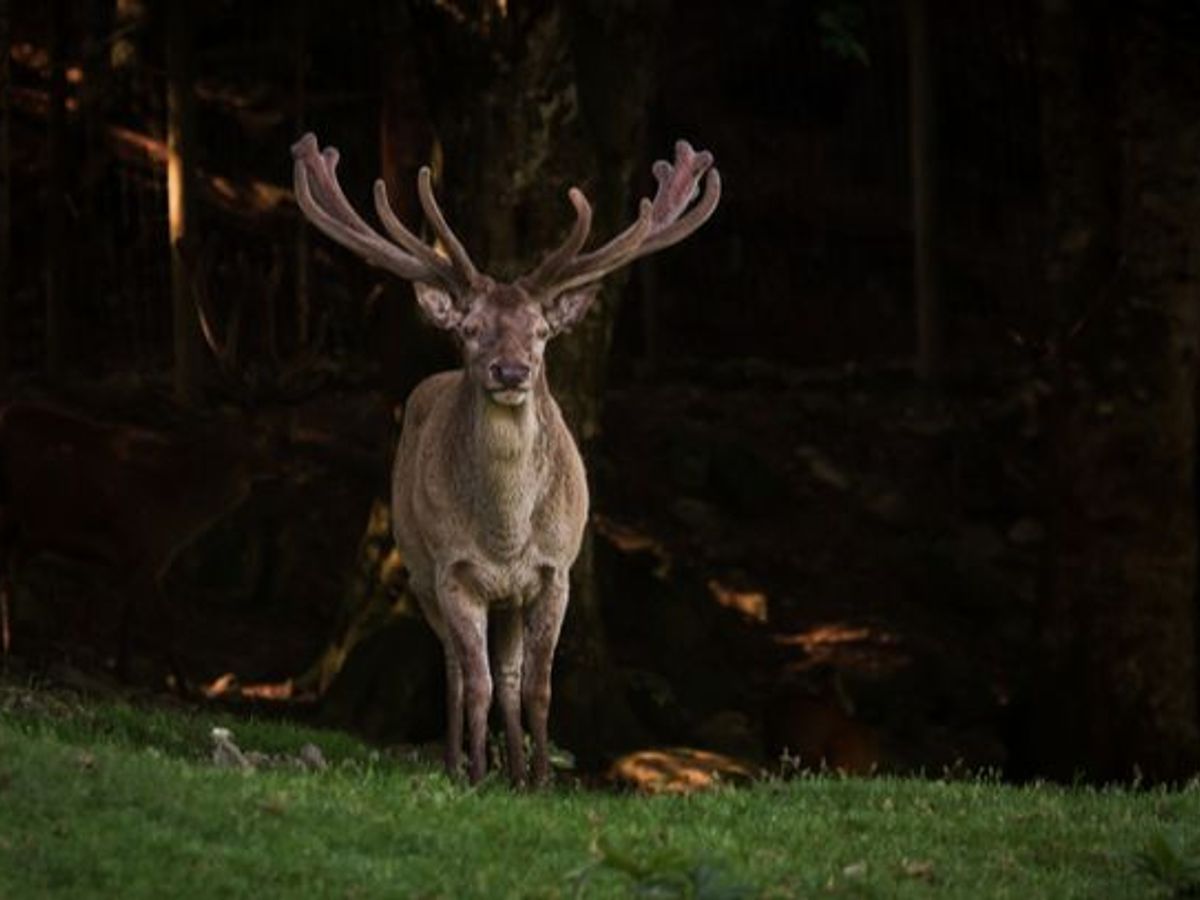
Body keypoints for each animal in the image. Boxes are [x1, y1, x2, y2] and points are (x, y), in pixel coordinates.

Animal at [294, 130, 715, 787]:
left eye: (541, 331)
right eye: (469, 328)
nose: (511, 371)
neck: (506, 534)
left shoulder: (555, 570)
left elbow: (537, 686)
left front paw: (540, 778)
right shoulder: (453, 570)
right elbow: (477, 684)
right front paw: (473, 773)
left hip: (510, 599)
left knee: (511, 675)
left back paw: (514, 769)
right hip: (418, 569)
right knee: (455, 669)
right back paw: (457, 763)